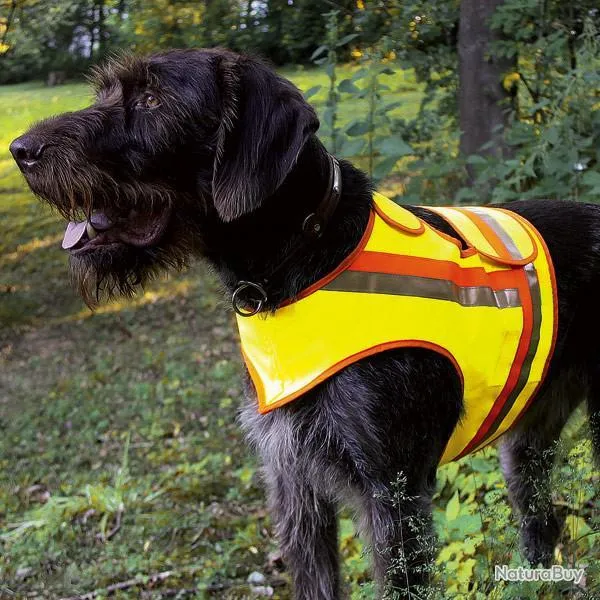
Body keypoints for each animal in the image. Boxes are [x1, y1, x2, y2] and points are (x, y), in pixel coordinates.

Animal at [9, 49, 600, 596]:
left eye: (153, 99)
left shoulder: (394, 495)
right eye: (106, 92)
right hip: (526, 441)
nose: (20, 150)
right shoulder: (292, 482)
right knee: (541, 522)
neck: (299, 261)